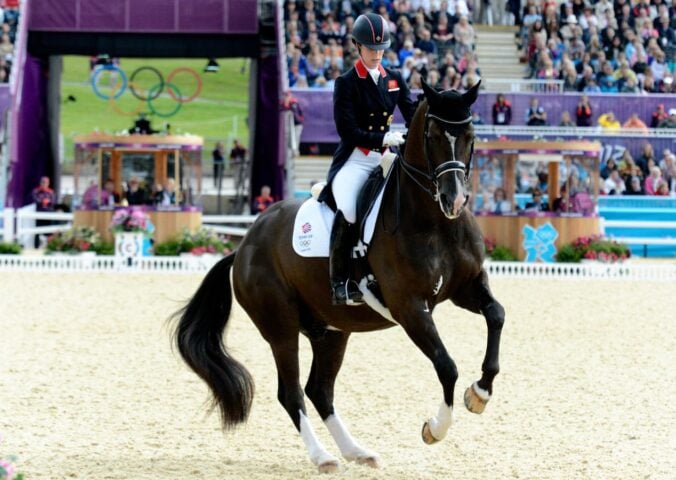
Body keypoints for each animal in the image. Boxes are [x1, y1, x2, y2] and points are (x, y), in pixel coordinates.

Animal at [172, 79, 504, 472]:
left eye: (470, 135)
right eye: (434, 135)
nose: (453, 201)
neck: (435, 222)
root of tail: (244, 246)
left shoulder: (465, 287)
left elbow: (496, 315)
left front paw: (480, 393)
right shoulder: (410, 307)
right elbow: (447, 366)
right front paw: (435, 429)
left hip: (331, 330)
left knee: (320, 390)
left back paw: (357, 452)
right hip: (281, 328)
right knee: (292, 392)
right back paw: (323, 457)